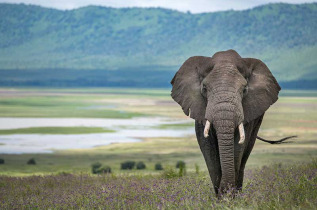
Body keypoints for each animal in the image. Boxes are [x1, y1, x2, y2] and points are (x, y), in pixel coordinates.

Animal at [172, 49, 292, 197]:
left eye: (244, 90)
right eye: (204, 88)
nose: (225, 191)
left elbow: (238, 147)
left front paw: (229, 196)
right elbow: (208, 148)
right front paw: (221, 197)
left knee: (245, 154)